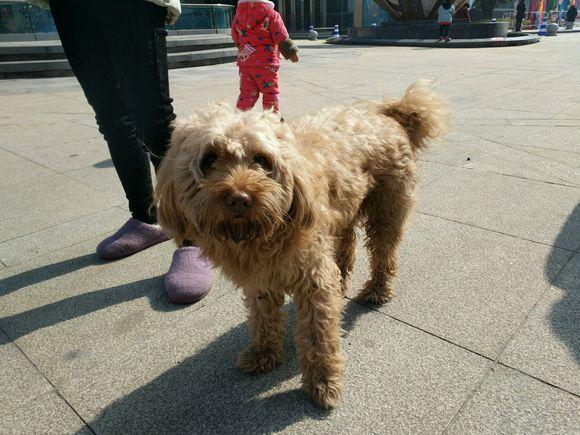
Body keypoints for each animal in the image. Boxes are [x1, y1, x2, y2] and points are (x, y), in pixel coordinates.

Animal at [154, 81, 448, 408]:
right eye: (209, 160)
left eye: (261, 160)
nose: (240, 199)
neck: (261, 235)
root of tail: (389, 116)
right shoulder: (260, 279)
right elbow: (263, 316)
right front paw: (263, 353)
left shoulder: (313, 277)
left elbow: (317, 334)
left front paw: (323, 380)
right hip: (343, 213)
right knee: (346, 248)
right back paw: (343, 284)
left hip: (387, 209)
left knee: (383, 252)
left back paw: (377, 290)